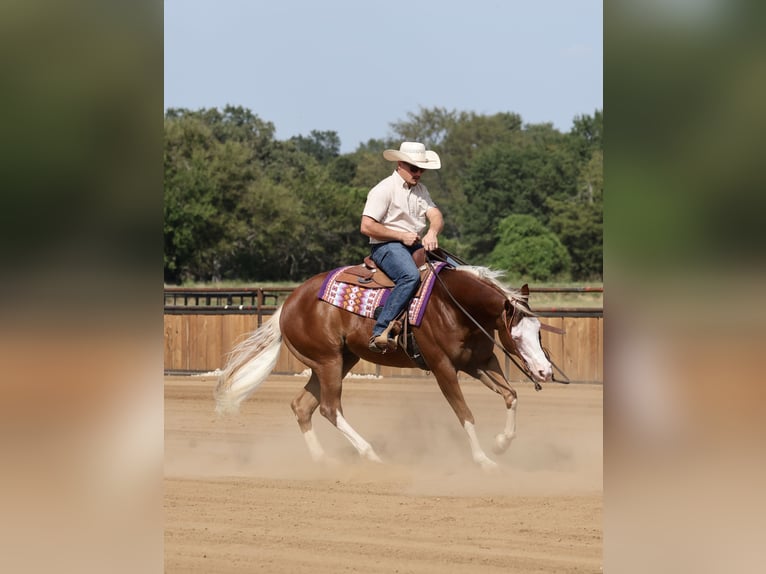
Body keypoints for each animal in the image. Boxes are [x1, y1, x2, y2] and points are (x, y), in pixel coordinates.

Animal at [214, 262, 554, 470]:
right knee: (329, 408)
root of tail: (288, 303)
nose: (545, 372)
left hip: (339, 361)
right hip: (328, 361)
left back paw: (324, 460)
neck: (453, 305)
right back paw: (371, 454)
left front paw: (500, 445)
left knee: (302, 406)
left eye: (538, 331)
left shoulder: (480, 362)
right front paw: (484, 460)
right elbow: (465, 414)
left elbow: (511, 395)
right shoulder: (443, 368)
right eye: (516, 335)